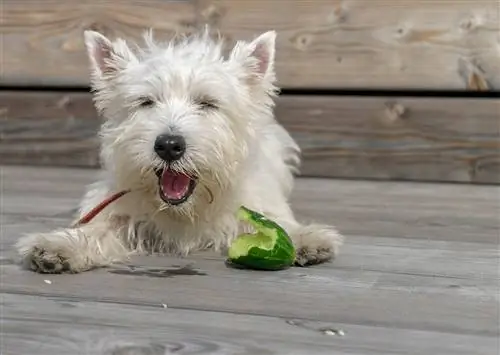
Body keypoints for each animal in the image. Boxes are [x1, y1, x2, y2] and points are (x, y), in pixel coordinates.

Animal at [16, 27, 344, 274]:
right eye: (146, 102)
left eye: (207, 103)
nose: (169, 145)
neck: (187, 212)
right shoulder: (116, 210)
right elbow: (97, 229)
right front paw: (58, 246)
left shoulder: (259, 204)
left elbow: (276, 223)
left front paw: (306, 239)